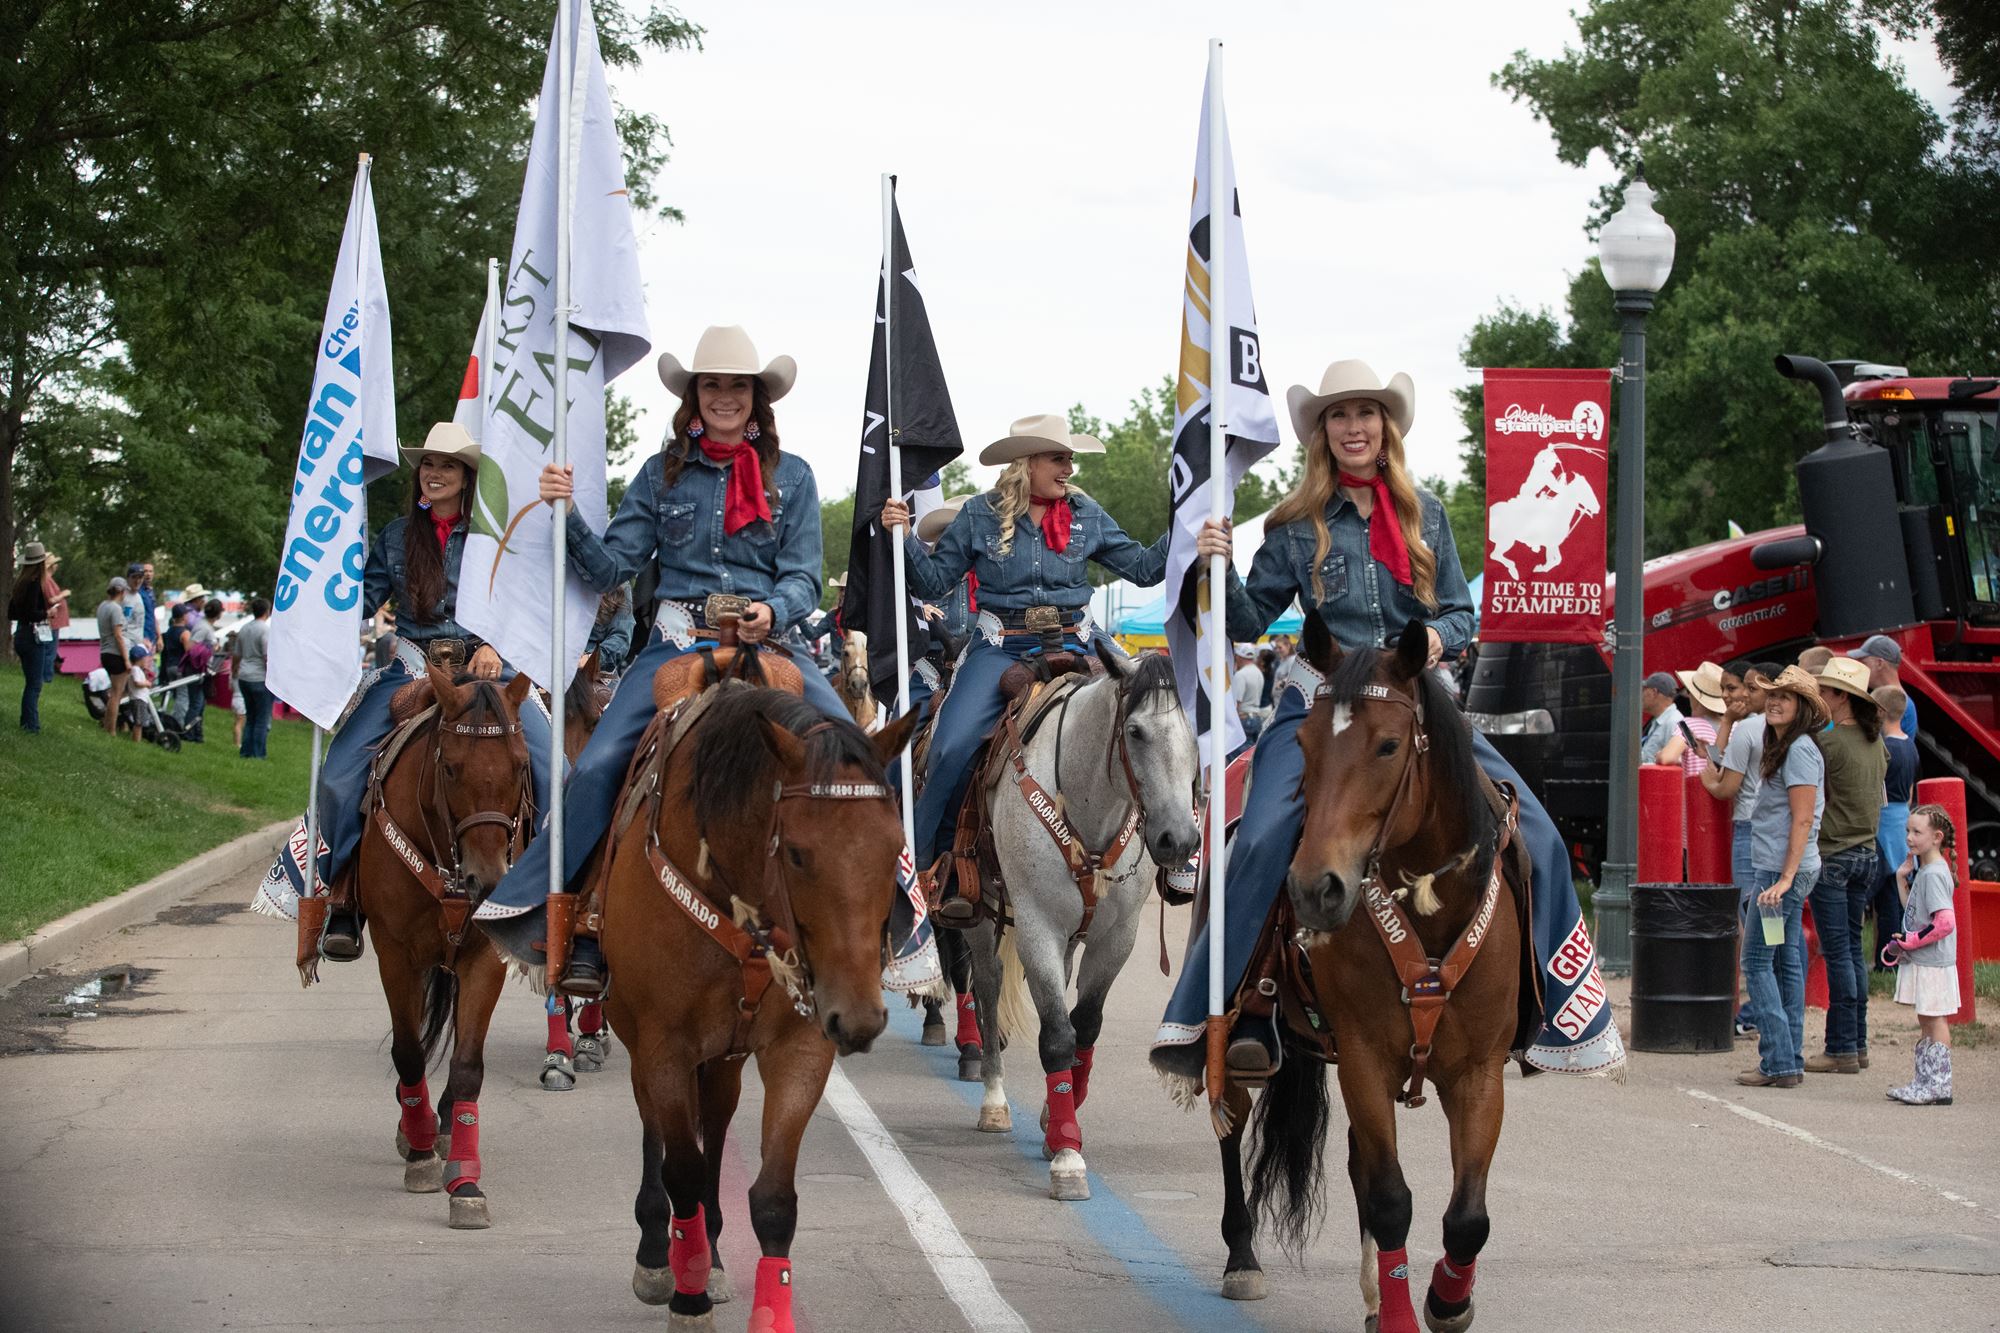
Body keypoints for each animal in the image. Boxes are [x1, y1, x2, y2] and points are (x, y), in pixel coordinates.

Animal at [356, 660, 536, 1224]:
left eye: (520, 764)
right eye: (452, 768)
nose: (489, 881)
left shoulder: (484, 958)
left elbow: (467, 1067)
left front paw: (466, 1182)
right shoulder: (395, 955)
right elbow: (409, 1052)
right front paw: (419, 1158)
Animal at [588, 680, 912, 1320]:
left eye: (894, 849)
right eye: (797, 854)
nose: (859, 1018)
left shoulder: (800, 1047)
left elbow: (772, 1198)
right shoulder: (664, 1046)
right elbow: (681, 1171)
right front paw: (685, 1297)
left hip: (724, 1059)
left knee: (714, 1125)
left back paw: (711, 1256)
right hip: (644, 1041)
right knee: (657, 1130)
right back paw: (658, 1253)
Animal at [960, 648, 1192, 1200]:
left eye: (1192, 730)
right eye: (1135, 732)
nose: (1180, 839)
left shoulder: (1117, 936)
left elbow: (1082, 1026)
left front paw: (1056, 1121)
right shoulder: (1038, 926)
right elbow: (1056, 1037)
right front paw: (1067, 1155)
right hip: (982, 912)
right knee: (987, 987)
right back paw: (993, 1097)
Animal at [1224, 616, 1520, 1328]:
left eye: (1388, 746)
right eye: (1303, 741)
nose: (1313, 888)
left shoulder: (1479, 1074)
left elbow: (1467, 1216)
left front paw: (1447, 1300)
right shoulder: (1362, 1056)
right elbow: (1390, 1199)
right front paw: (1402, 1314)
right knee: (1231, 1121)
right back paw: (1242, 1258)